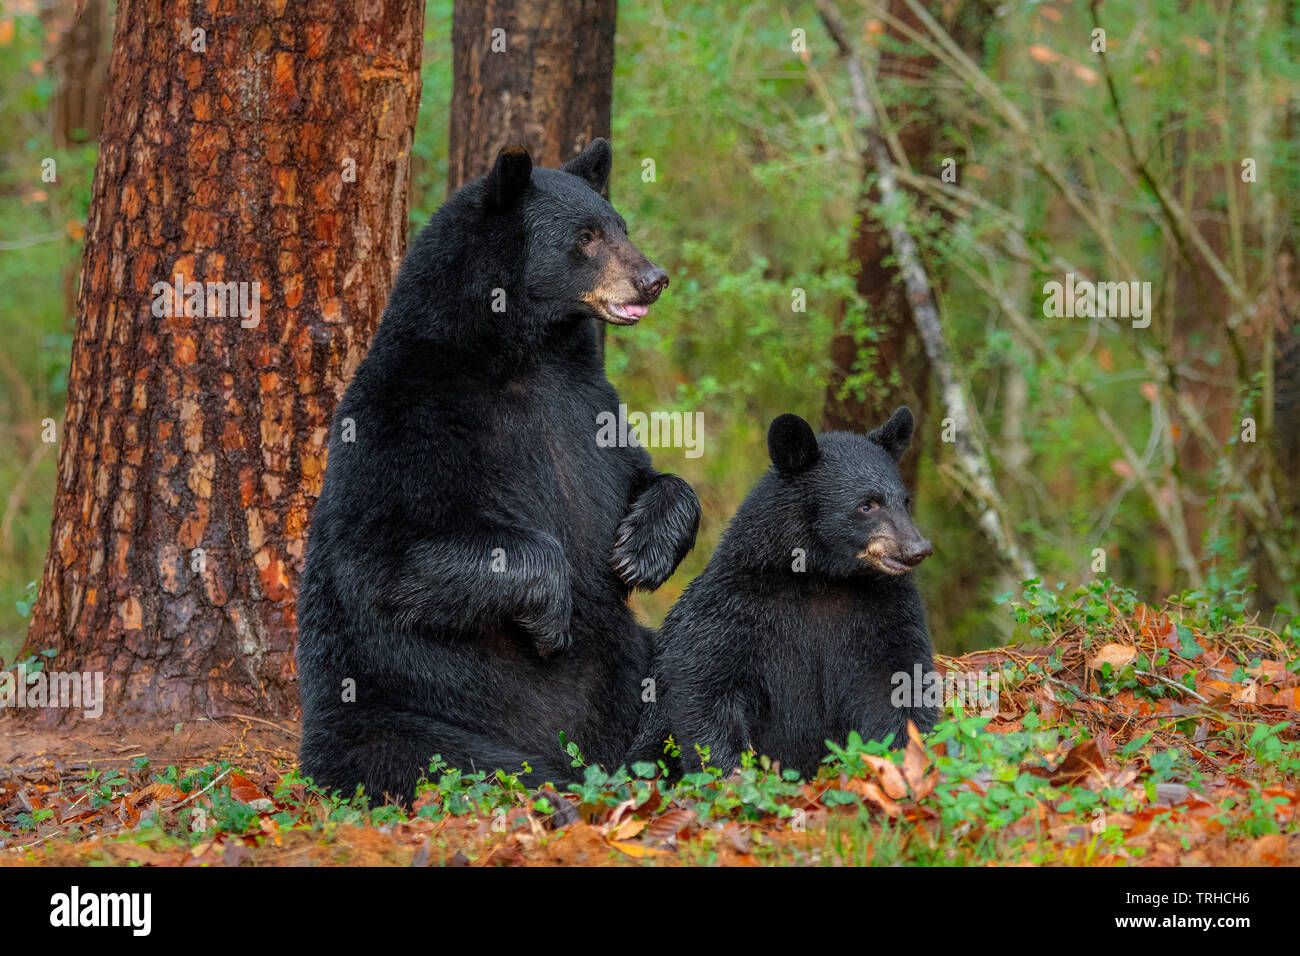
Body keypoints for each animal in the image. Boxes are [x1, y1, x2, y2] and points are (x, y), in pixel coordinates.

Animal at [297, 138, 702, 806]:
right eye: (586, 237)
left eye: (621, 225)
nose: (654, 278)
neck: (522, 357)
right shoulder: (404, 417)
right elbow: (391, 551)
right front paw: (553, 609)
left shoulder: (586, 406)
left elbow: (641, 477)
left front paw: (641, 550)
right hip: (393, 714)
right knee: (435, 757)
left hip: (639, 668)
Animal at [637, 408, 935, 780]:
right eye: (867, 505)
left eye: (904, 502)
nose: (918, 548)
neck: (821, 578)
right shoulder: (735, 603)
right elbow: (706, 679)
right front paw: (732, 773)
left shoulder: (886, 607)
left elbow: (897, 680)